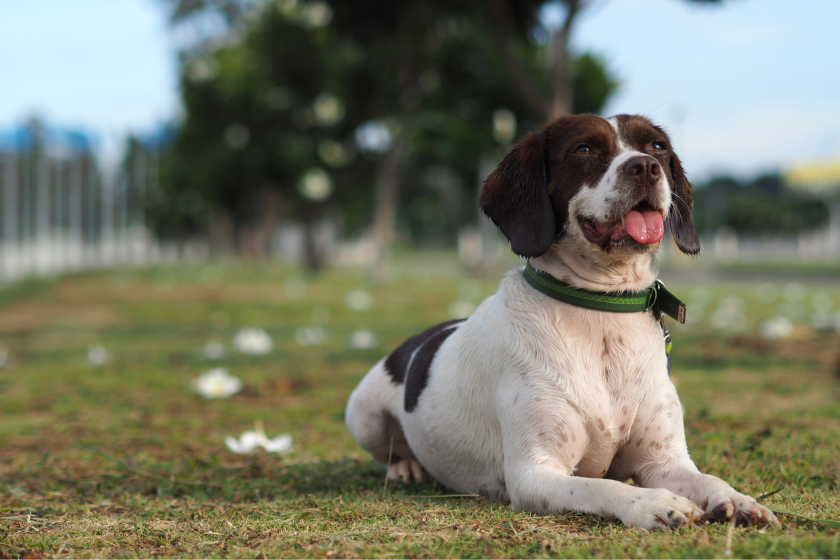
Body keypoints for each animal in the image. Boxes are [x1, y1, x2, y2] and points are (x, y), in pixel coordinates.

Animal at [346, 114, 780, 528]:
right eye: (584, 148)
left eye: (657, 146)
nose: (645, 166)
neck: (602, 310)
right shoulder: (533, 474)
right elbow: (602, 486)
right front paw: (654, 504)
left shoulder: (664, 461)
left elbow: (708, 480)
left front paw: (740, 501)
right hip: (363, 415)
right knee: (389, 451)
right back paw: (406, 465)